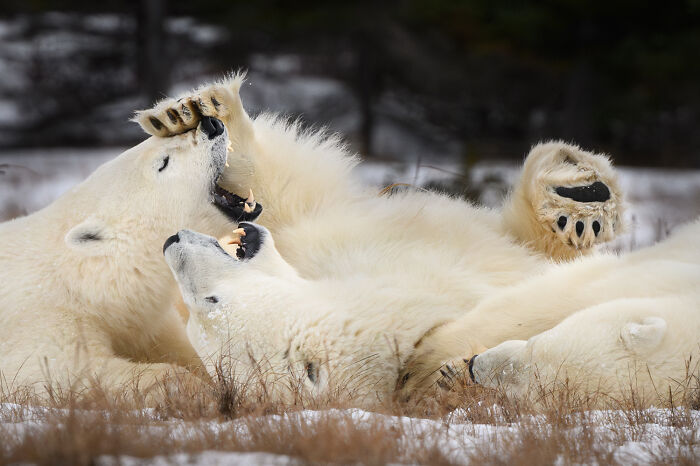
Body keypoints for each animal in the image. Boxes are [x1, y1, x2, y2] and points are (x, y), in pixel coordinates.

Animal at [0, 115, 261, 400]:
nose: (211, 124)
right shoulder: (46, 322)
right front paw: (203, 391)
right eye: (163, 162)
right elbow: (66, 370)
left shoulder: (146, 322)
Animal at [135, 74, 626, 405]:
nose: (172, 241)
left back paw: (576, 204)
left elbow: (288, 195)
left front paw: (193, 112)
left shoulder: (328, 244)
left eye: (208, 303)